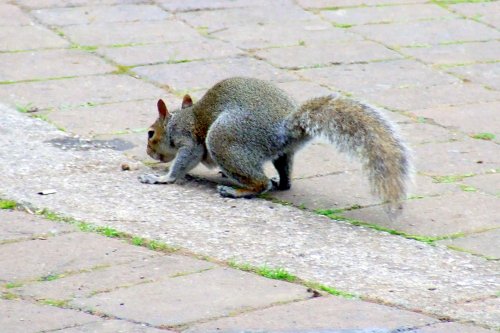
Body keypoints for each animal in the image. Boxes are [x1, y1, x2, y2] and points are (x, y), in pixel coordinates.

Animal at [139, 76, 412, 209]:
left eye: (150, 133)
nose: (149, 152)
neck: (179, 119)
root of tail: (286, 126)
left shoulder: (189, 139)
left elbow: (185, 160)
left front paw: (162, 178)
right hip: (282, 153)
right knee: (284, 177)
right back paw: (277, 182)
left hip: (224, 138)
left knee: (260, 184)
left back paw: (237, 190)